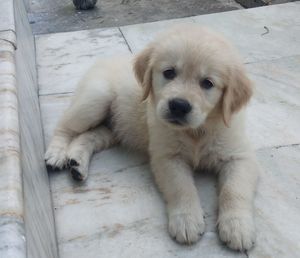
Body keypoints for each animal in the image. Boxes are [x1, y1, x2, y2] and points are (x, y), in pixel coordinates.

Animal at [45, 24, 260, 252]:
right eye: (169, 73)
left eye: (207, 83)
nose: (179, 106)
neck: (197, 130)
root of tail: (103, 59)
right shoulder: (167, 157)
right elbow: (181, 187)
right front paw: (186, 221)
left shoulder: (239, 156)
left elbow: (234, 189)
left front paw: (237, 227)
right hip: (95, 99)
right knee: (64, 127)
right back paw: (56, 154)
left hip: (115, 127)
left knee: (89, 136)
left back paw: (77, 163)